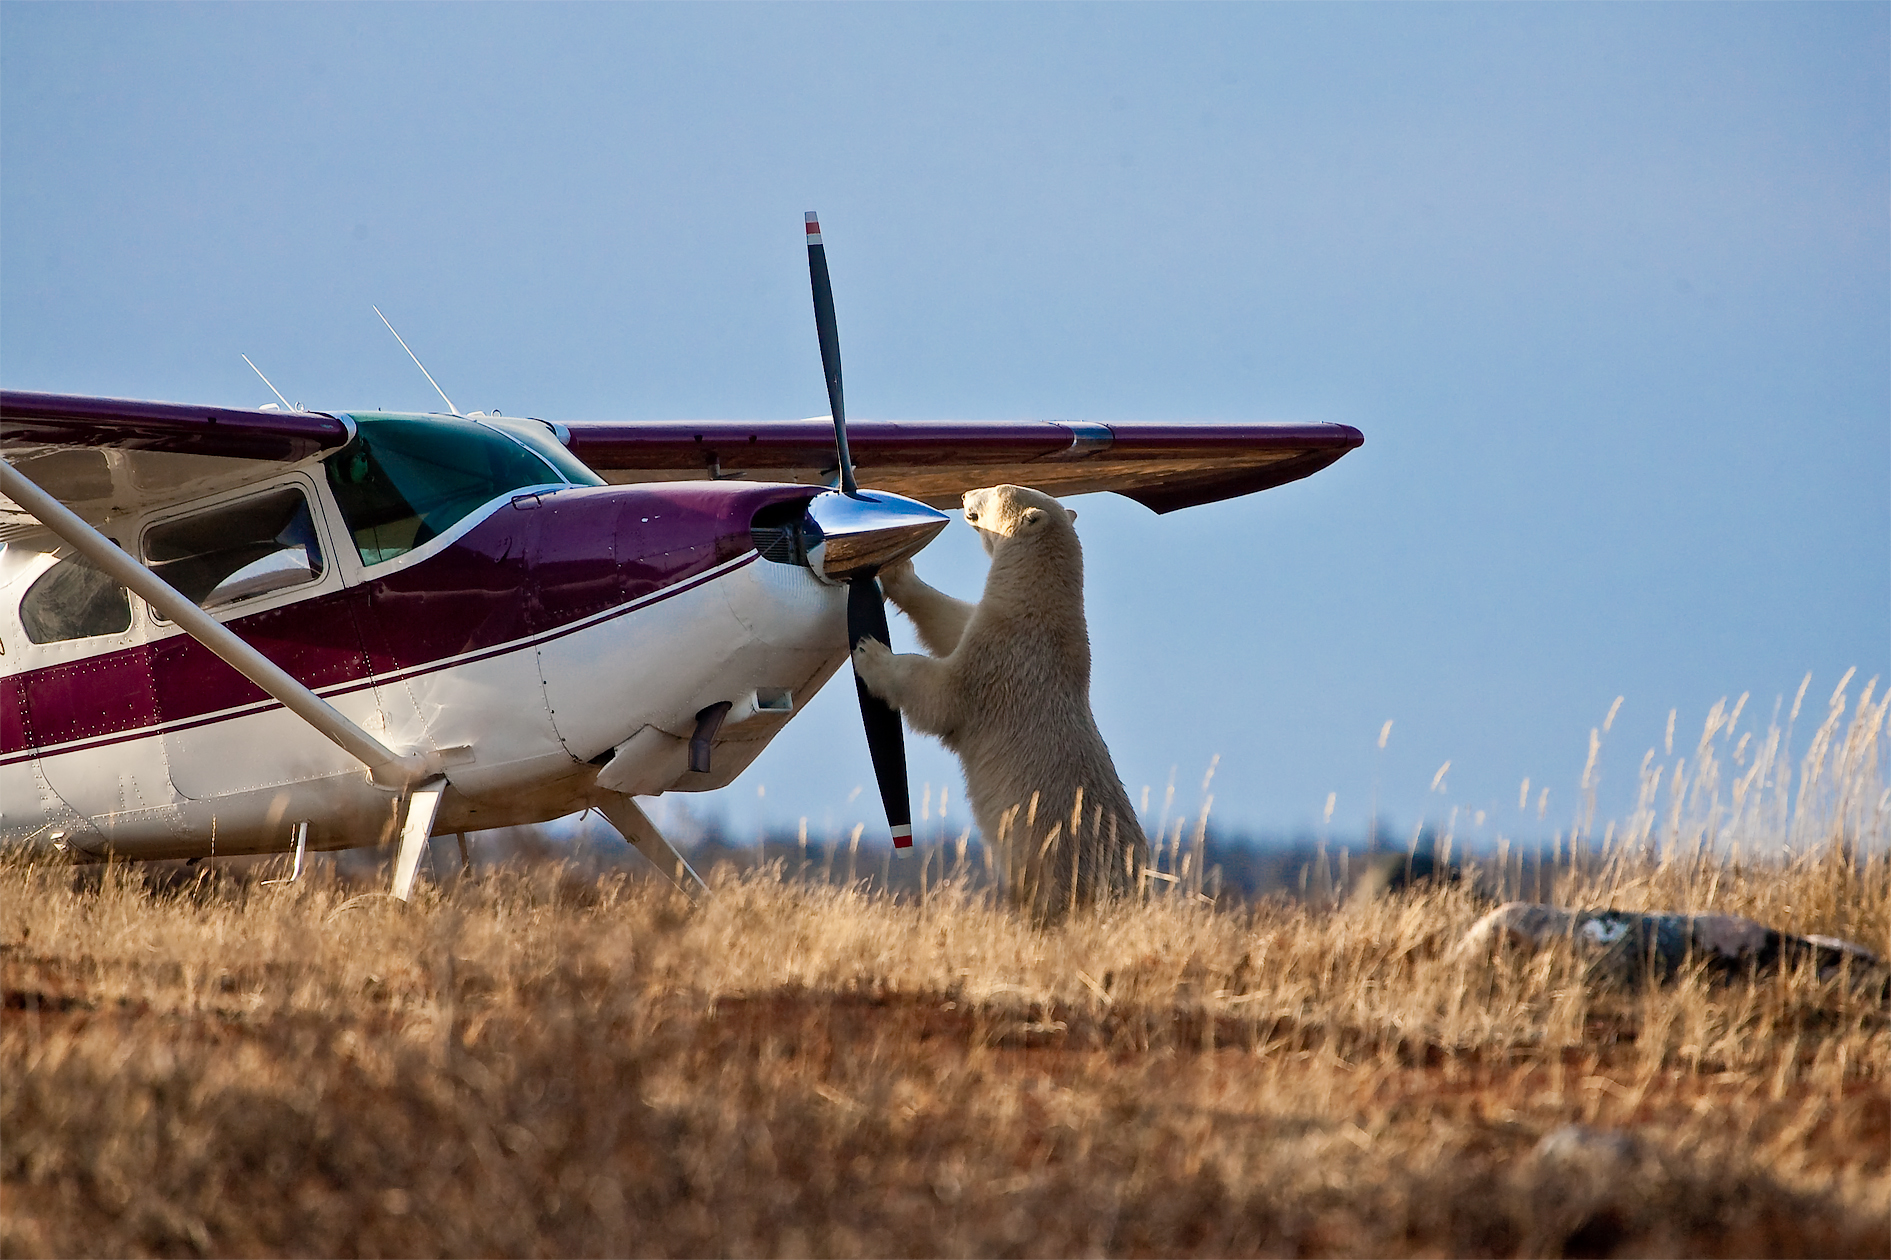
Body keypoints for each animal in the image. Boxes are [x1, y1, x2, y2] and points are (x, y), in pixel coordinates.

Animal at [850, 483, 1146, 922]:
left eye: (995, 490)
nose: (964, 493)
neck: (1041, 612)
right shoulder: (993, 628)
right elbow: (951, 621)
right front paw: (899, 572)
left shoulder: (1004, 661)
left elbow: (941, 693)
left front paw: (871, 652)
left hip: (1059, 863)